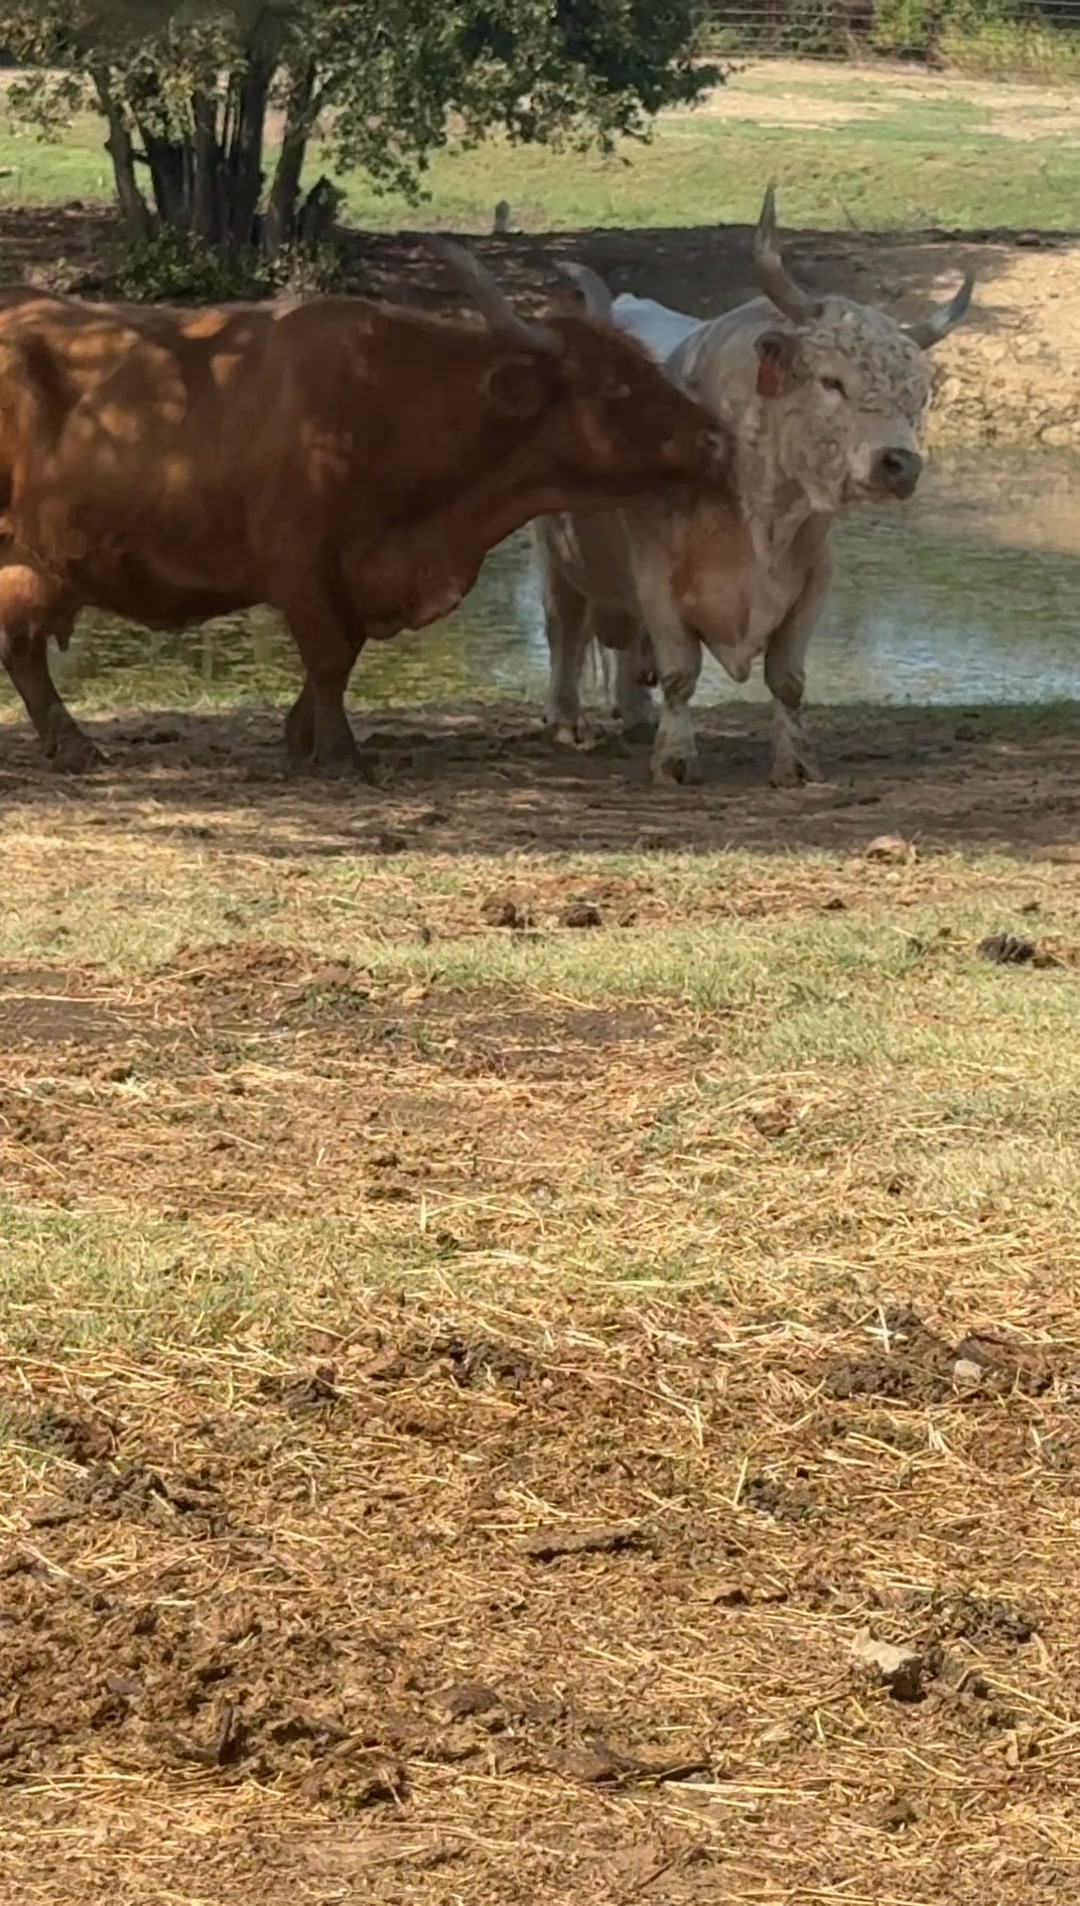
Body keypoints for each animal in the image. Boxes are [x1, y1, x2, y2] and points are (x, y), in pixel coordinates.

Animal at [0, 241, 729, 774]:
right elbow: (328, 655)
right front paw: (341, 755)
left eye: (643, 362)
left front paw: (300, 736)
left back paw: (73, 745)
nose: (714, 436)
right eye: (612, 387)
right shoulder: (300, 563)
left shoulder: (354, 574)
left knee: (22, 649)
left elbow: (341, 658)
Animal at [534, 188, 973, 787]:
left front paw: (795, 762)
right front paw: (676, 759)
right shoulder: (656, 576)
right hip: (557, 553)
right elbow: (679, 673)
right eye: (832, 381)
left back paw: (636, 714)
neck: (761, 513)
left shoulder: (813, 580)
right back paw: (565, 719)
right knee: (565, 631)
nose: (900, 464)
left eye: (918, 395)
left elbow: (787, 680)